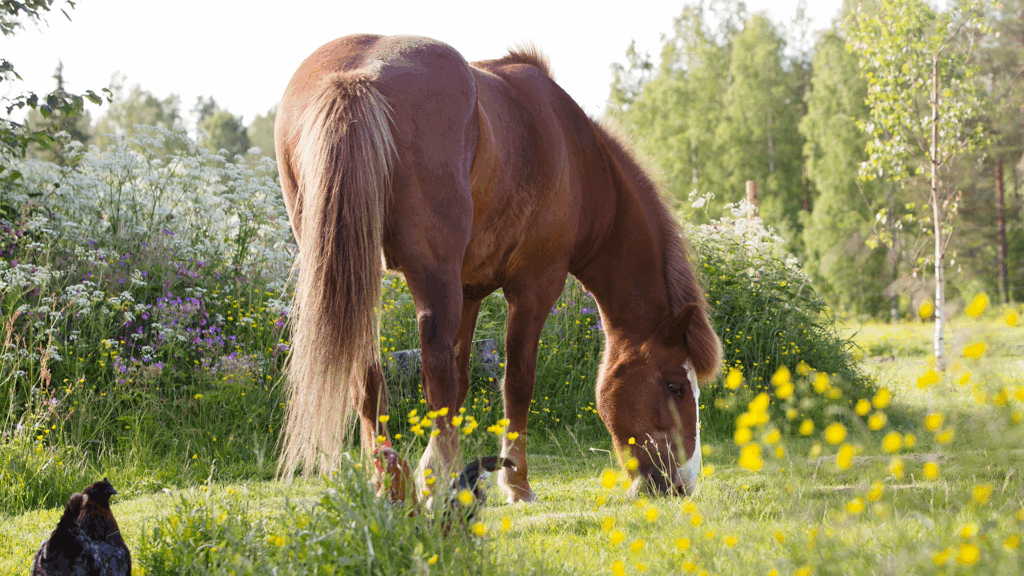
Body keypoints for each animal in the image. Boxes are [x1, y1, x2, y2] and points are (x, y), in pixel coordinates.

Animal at [274, 34, 722, 501]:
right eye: (674, 386)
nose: (683, 484)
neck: (578, 156)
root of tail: (357, 76)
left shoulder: (469, 290)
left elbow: (462, 381)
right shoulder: (534, 287)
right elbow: (517, 382)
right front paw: (516, 481)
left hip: (359, 277)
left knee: (370, 378)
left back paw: (389, 480)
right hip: (430, 277)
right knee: (434, 375)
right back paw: (435, 479)